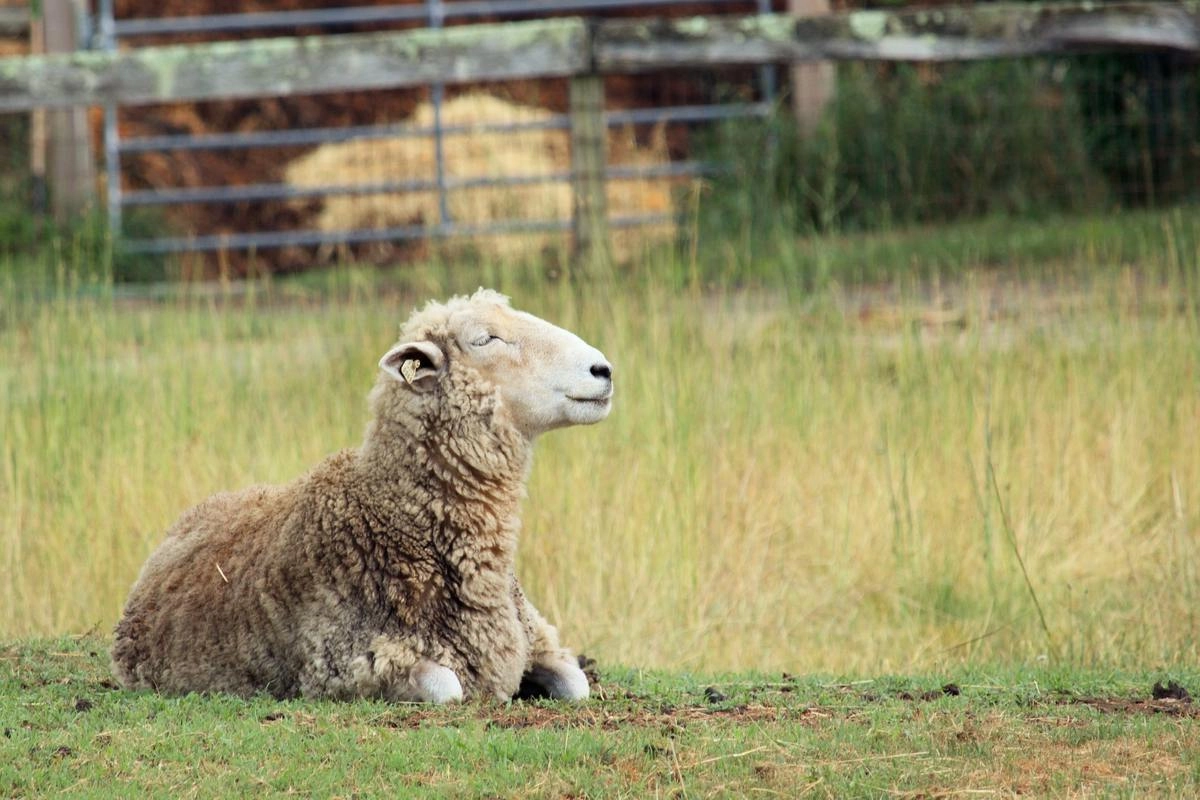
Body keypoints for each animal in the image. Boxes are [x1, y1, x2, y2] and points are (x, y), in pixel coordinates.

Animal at [111, 289, 613, 704]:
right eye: (484, 339)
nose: (603, 370)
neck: (390, 517)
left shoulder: (536, 637)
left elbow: (577, 684)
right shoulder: (351, 664)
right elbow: (447, 687)